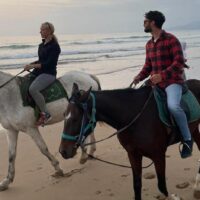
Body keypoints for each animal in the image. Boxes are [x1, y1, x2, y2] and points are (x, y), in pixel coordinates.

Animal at [58, 79, 199, 200]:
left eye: (75, 118)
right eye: (64, 115)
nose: (63, 151)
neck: (134, 117)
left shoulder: (158, 156)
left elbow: (162, 187)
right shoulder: (133, 154)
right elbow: (137, 185)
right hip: (194, 129)